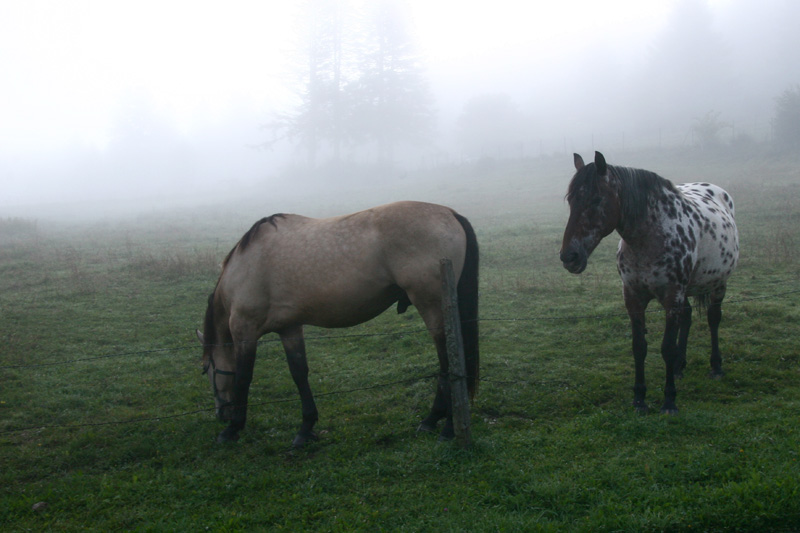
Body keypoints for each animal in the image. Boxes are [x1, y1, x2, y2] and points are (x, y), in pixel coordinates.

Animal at [196, 200, 478, 444]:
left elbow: (244, 378)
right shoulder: (289, 328)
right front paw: (306, 428)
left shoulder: (245, 330)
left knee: (450, 361)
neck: (245, 268)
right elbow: (299, 373)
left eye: (206, 370)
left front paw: (233, 428)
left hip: (432, 308)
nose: (221, 415)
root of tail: (450, 213)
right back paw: (433, 420)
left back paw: (447, 426)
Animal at [560, 152, 740, 414]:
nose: (569, 257)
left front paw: (669, 400)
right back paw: (679, 366)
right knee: (687, 318)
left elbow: (666, 347)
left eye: (596, 199)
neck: (648, 239)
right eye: (571, 200)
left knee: (713, 319)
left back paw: (716, 367)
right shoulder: (633, 298)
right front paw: (639, 398)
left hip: (718, 284)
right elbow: (639, 346)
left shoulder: (672, 297)